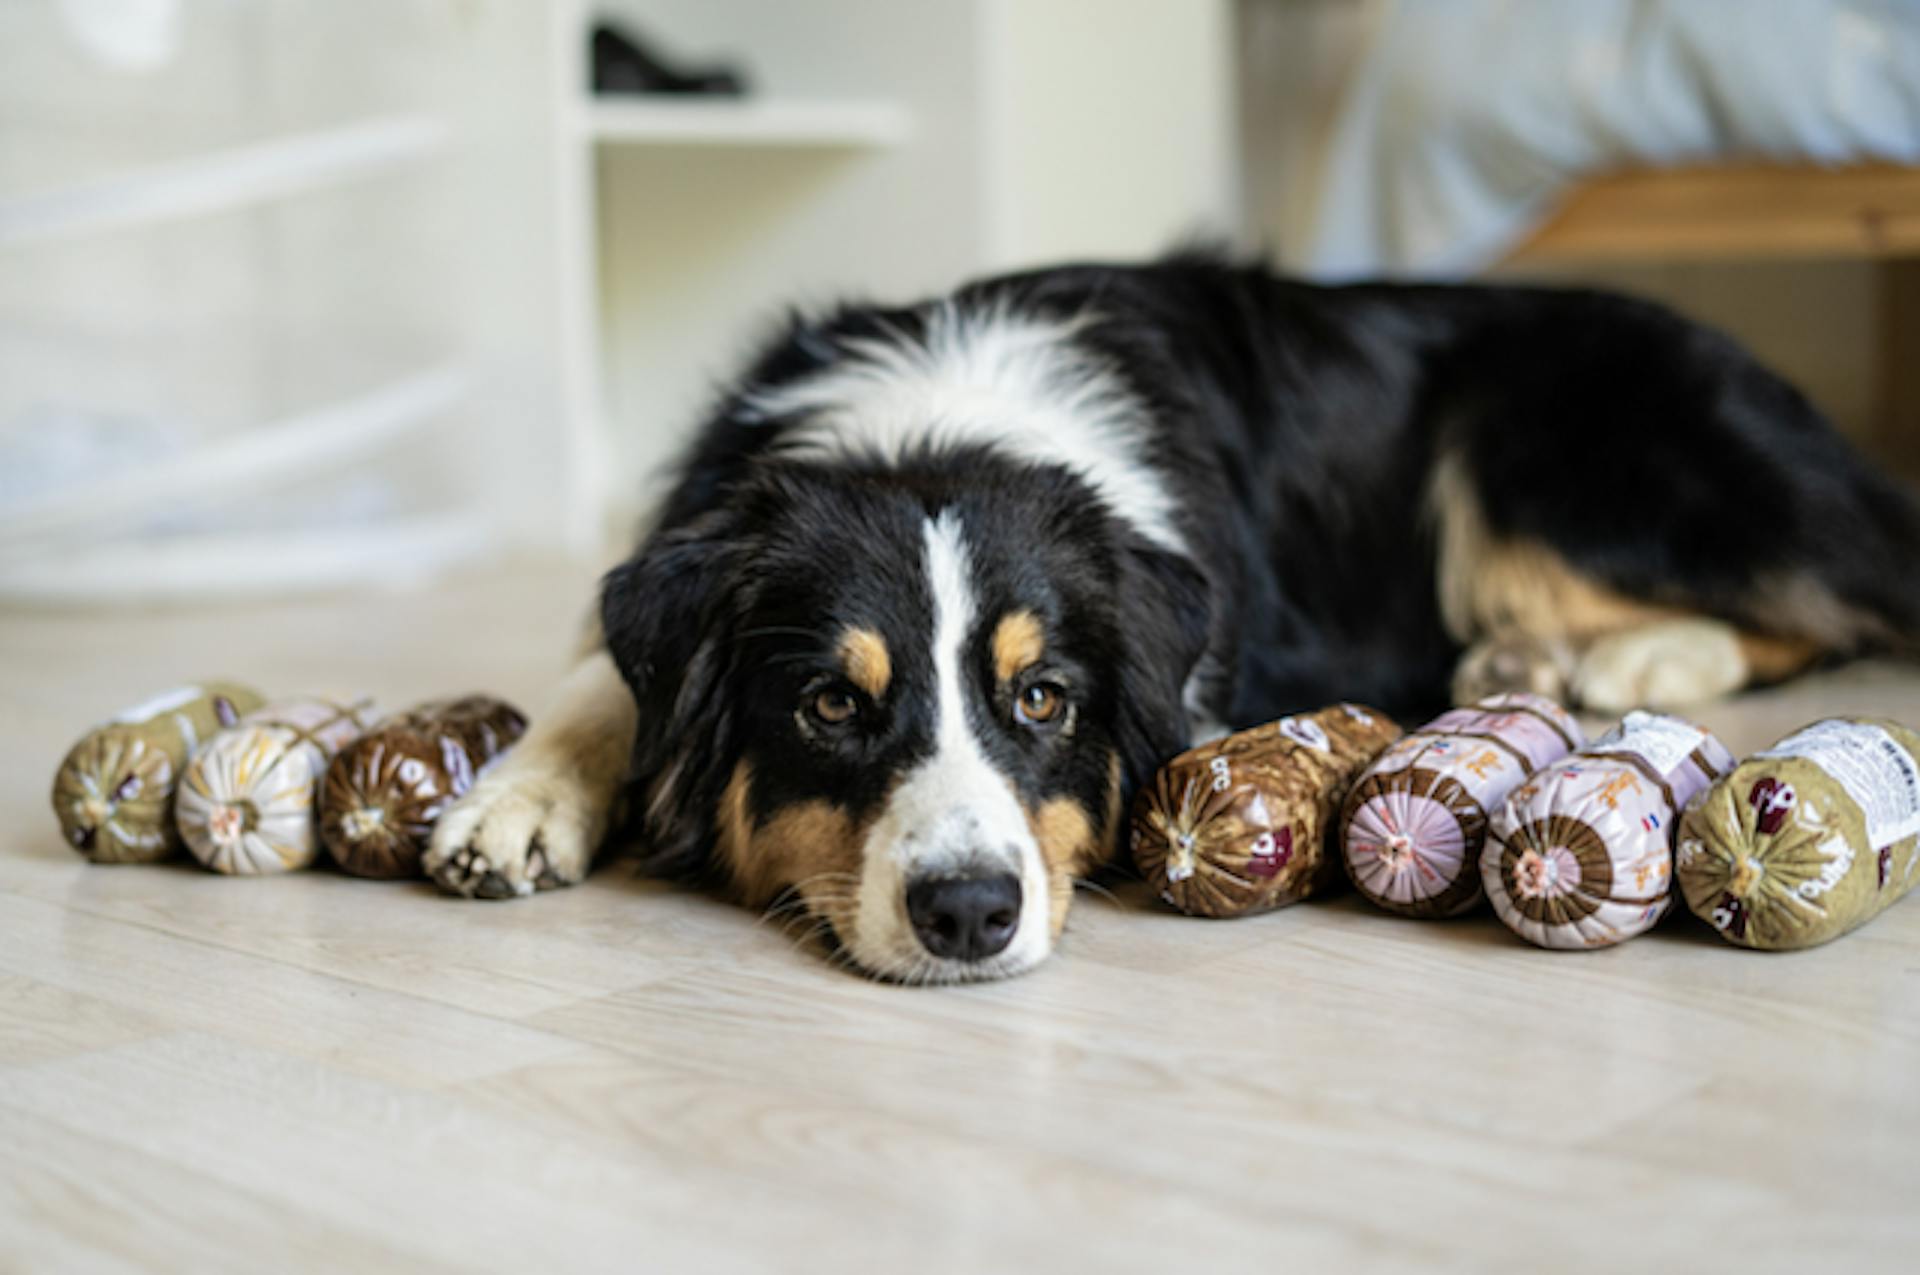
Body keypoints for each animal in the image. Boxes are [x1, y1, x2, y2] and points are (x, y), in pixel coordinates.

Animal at [424, 251, 1920, 983]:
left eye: (1043, 698)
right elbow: (606, 681)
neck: (942, 418)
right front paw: (514, 799)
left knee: (1841, 596)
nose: (970, 913)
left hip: (1547, 446)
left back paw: (1626, 647)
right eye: (833, 704)